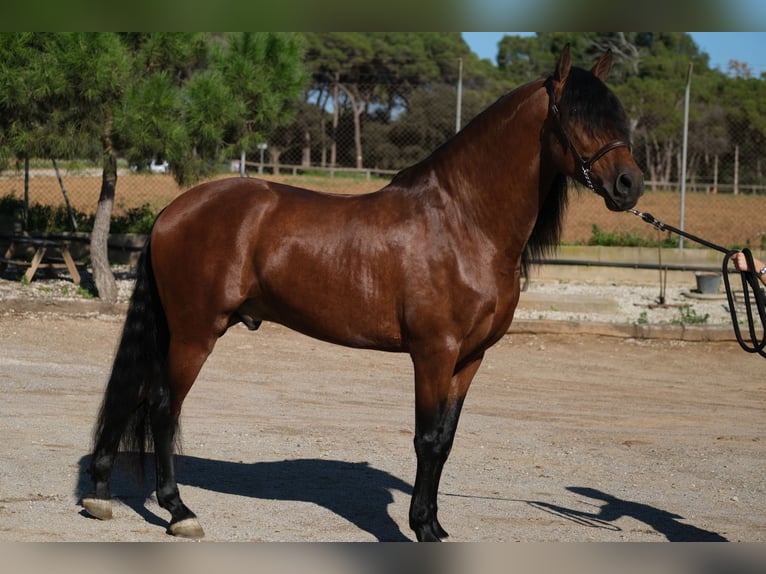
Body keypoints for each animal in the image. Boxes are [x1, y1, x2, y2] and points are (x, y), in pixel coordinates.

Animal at [84, 46, 644, 544]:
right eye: (578, 116)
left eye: (618, 115)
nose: (629, 185)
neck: (463, 222)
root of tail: (172, 210)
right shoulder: (434, 354)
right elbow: (427, 439)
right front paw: (422, 528)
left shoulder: (470, 359)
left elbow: (446, 442)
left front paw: (435, 523)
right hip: (195, 333)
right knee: (162, 408)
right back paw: (179, 511)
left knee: (136, 396)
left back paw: (100, 494)